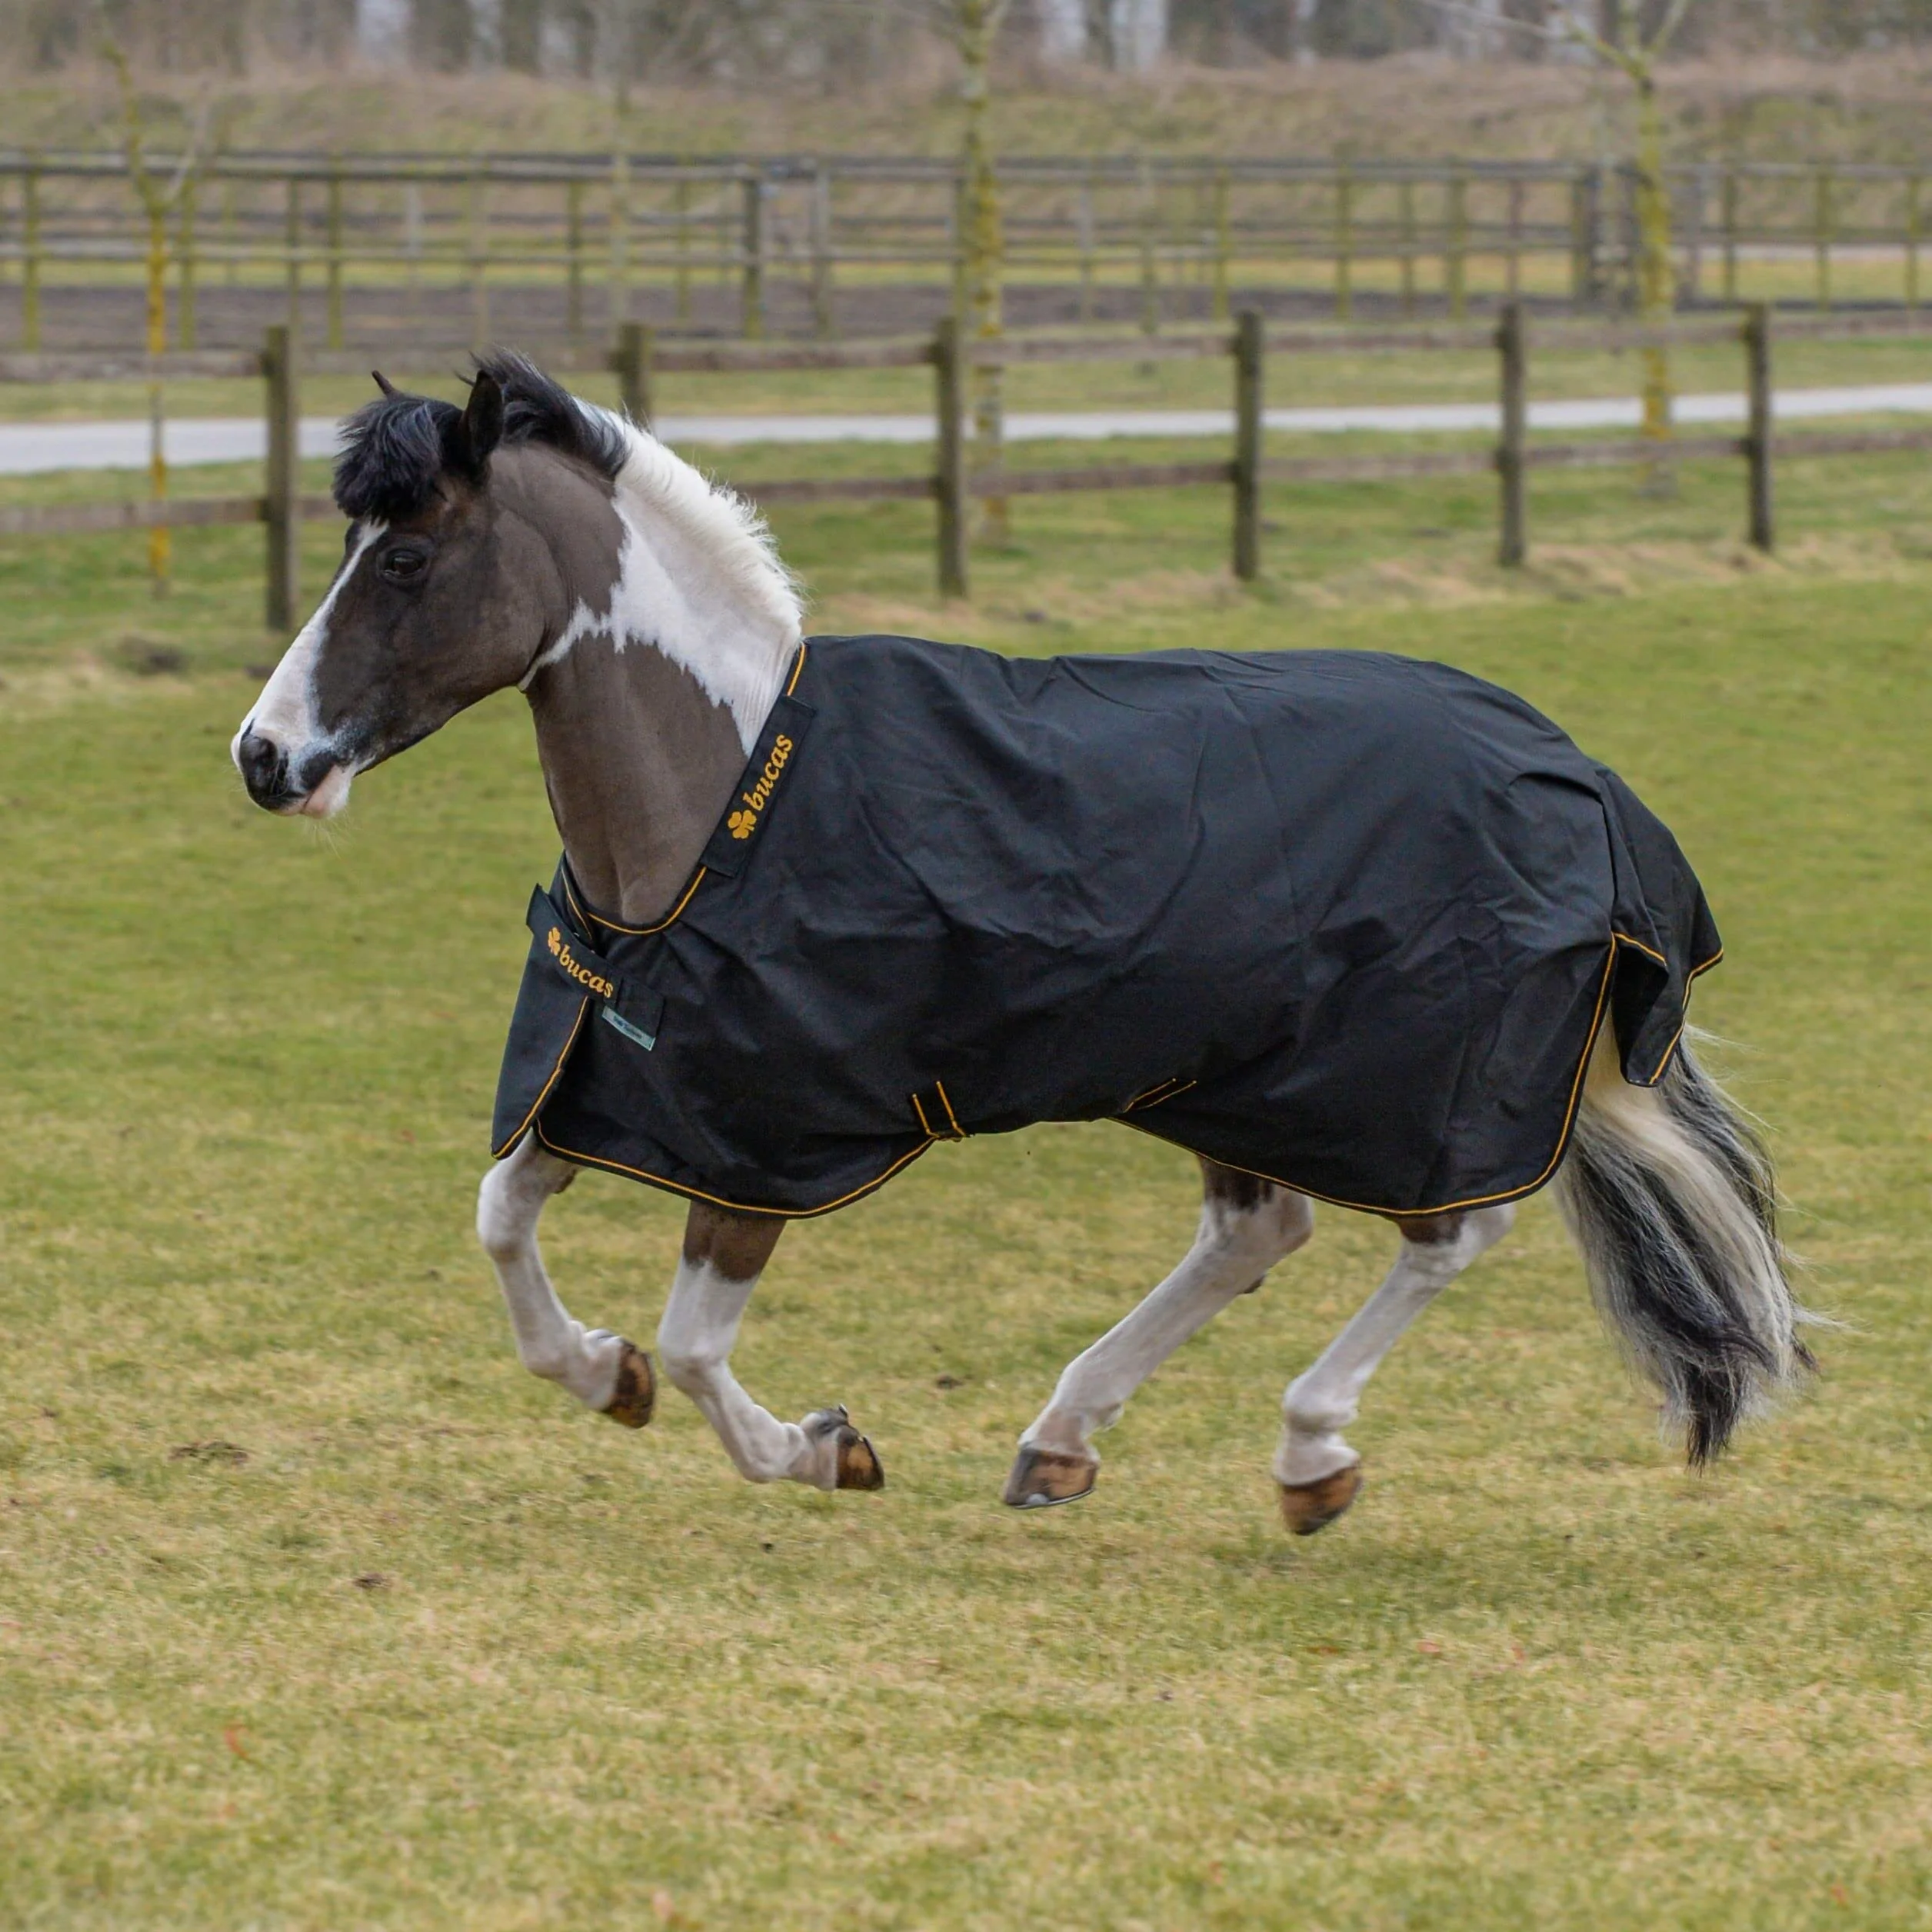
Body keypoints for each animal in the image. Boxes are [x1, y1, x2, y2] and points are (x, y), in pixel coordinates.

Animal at [231, 355, 1813, 1534]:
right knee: (1258, 1232)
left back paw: (1308, 1455)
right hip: (1232, 1075)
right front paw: (599, 1374)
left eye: (407, 558)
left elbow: (693, 1345)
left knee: (1448, 1231)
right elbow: (503, 1225)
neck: (722, 803)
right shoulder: (614, 1086)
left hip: (1400, 1086)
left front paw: (824, 1448)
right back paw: (1061, 1441)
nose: (263, 759)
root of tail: (1580, 775)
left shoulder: (764, 1139)